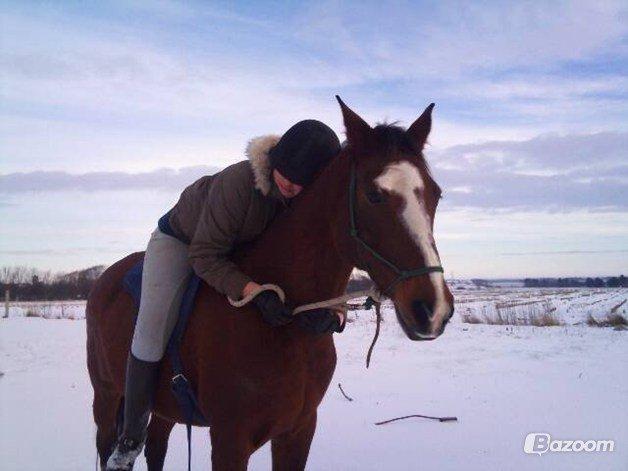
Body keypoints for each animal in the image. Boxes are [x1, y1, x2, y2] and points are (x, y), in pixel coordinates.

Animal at [86, 97, 454, 470]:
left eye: (436, 194)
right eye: (374, 195)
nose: (433, 309)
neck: (289, 324)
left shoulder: (298, 431)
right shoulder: (230, 441)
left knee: (156, 447)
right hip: (106, 395)